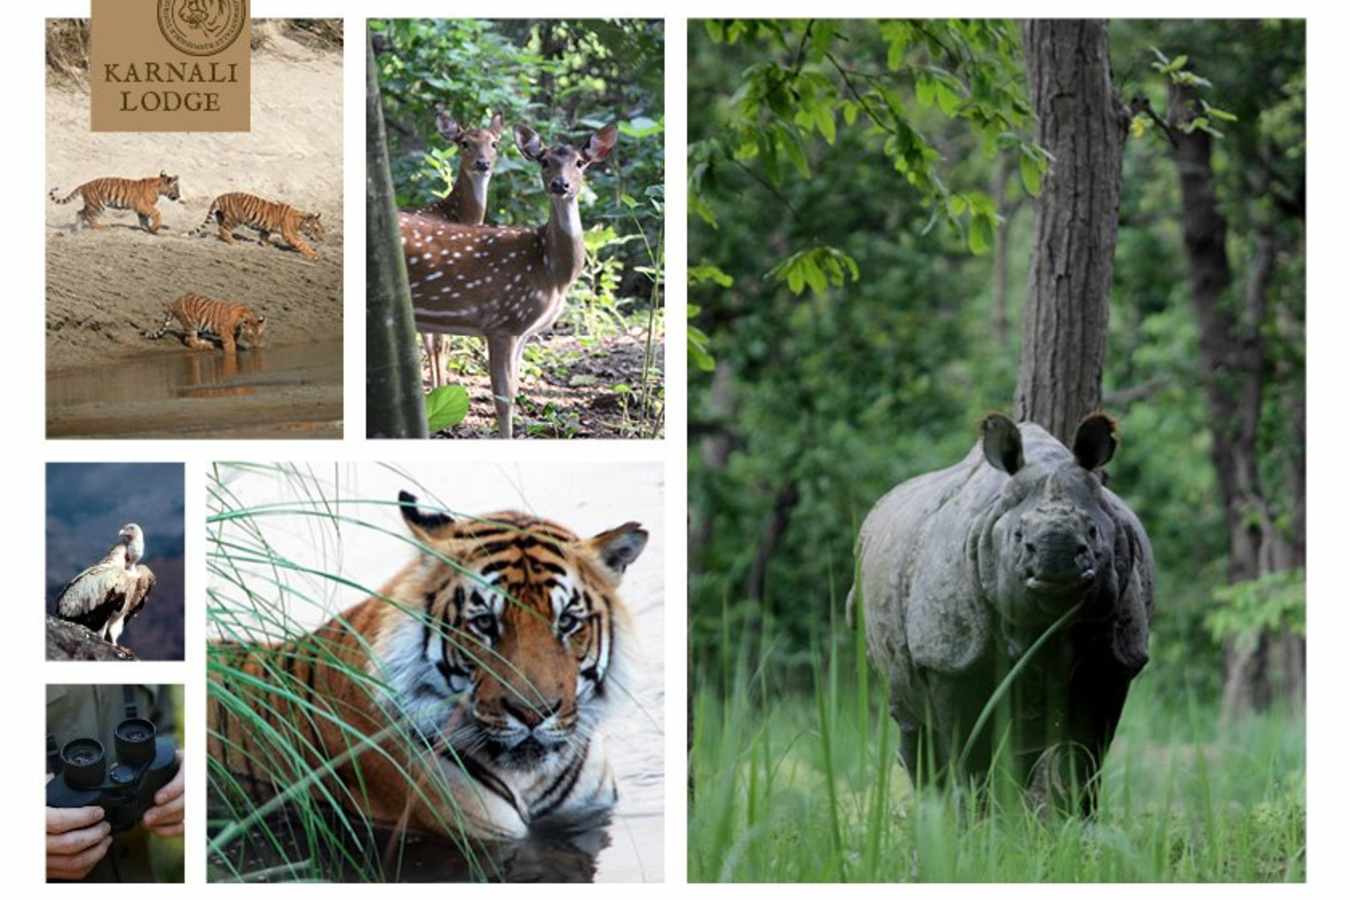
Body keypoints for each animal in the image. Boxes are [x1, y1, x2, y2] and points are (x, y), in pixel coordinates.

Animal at [47, 171, 181, 233]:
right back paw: (101, 227)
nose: (179, 196)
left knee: (80, 212)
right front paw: (154, 228)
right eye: (176, 188)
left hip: (91, 204)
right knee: (90, 217)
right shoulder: (143, 205)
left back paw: (77, 229)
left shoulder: (141, 208)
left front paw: (148, 229)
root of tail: (84, 185)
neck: (159, 188)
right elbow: (156, 213)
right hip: (97, 205)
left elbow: (144, 220)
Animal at [189, 192, 324, 260]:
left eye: (323, 230)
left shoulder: (266, 228)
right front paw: (314, 254)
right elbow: (303, 244)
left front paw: (267, 244)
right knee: (223, 229)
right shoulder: (290, 235)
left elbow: (264, 236)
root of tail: (220, 196)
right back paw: (233, 242)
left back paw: (224, 239)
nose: (322, 239)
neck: (300, 221)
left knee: (221, 229)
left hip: (221, 216)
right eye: (316, 229)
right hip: (235, 218)